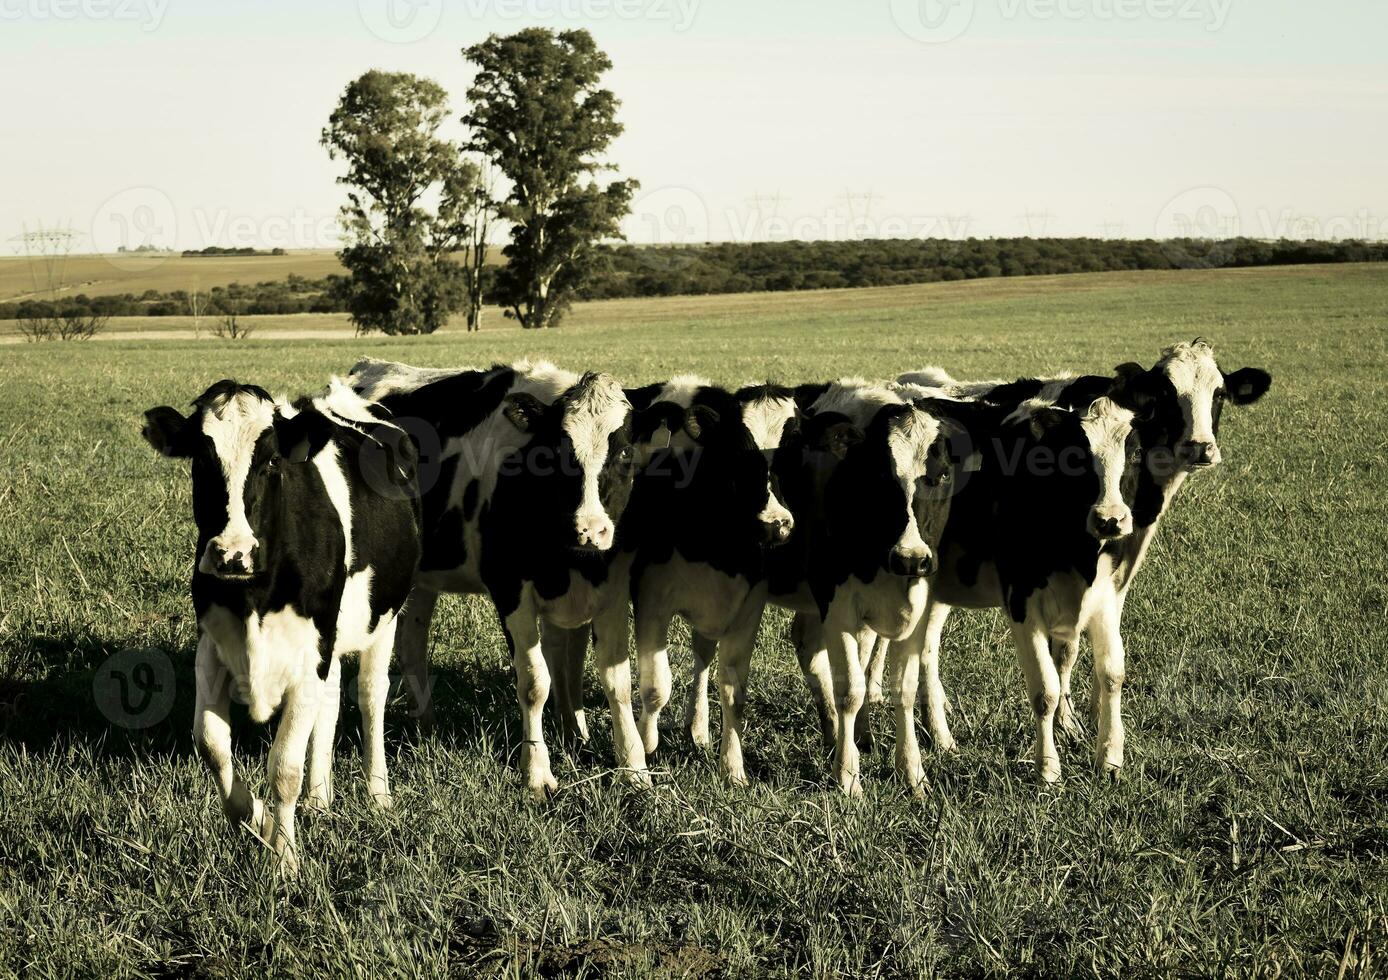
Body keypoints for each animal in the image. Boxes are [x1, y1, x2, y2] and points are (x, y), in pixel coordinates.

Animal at [145, 377, 421, 866]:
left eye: (271, 459)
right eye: (201, 458)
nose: (232, 553)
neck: (254, 596)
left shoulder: (309, 656)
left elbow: (284, 767)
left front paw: (285, 858)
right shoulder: (212, 648)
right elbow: (212, 745)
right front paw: (257, 818)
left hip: (382, 619)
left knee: (371, 696)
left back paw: (377, 794)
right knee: (330, 701)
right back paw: (319, 798)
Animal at [344, 358, 652, 793]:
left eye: (625, 452)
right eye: (555, 454)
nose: (590, 530)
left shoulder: (611, 590)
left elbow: (619, 682)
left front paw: (634, 767)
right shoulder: (510, 589)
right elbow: (535, 682)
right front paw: (537, 772)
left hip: (421, 579)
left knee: (412, 645)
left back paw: (427, 725)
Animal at [899, 344, 1271, 777]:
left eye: (1219, 393)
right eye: (1165, 392)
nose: (1199, 447)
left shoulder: (1112, 578)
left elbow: (1078, 657)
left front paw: (1084, 724)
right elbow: (1051, 673)